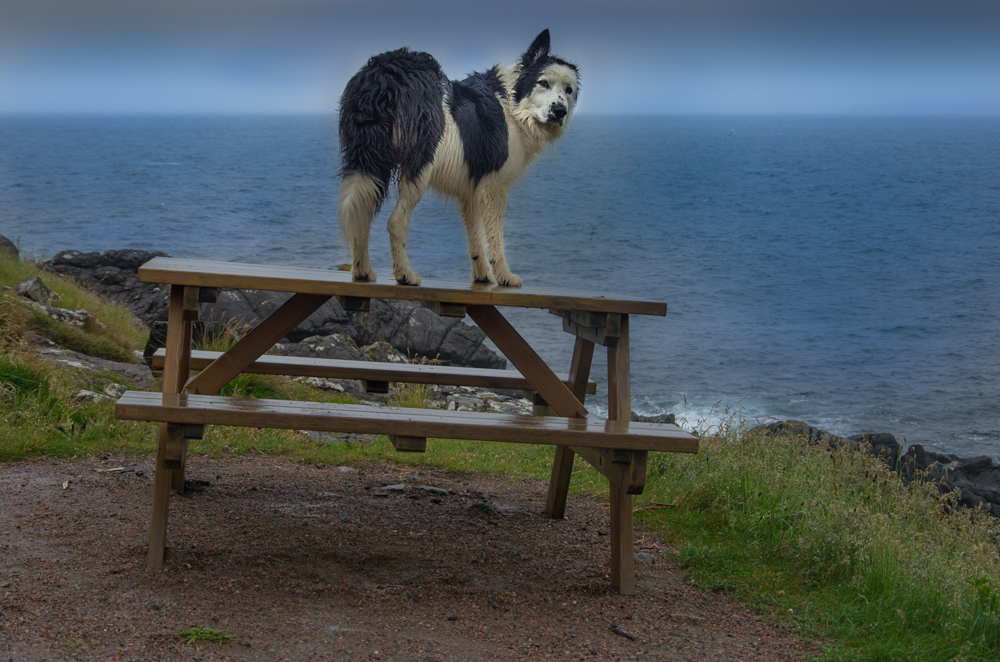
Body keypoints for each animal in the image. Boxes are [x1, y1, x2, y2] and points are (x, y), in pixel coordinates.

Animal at [338, 29, 580, 286]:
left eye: (569, 90)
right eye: (543, 83)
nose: (560, 112)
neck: (513, 108)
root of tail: (385, 75)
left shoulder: (472, 188)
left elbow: (475, 238)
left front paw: (483, 277)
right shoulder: (494, 187)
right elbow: (495, 238)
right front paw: (505, 276)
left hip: (367, 161)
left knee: (359, 213)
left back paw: (363, 272)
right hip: (419, 167)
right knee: (396, 222)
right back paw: (405, 275)